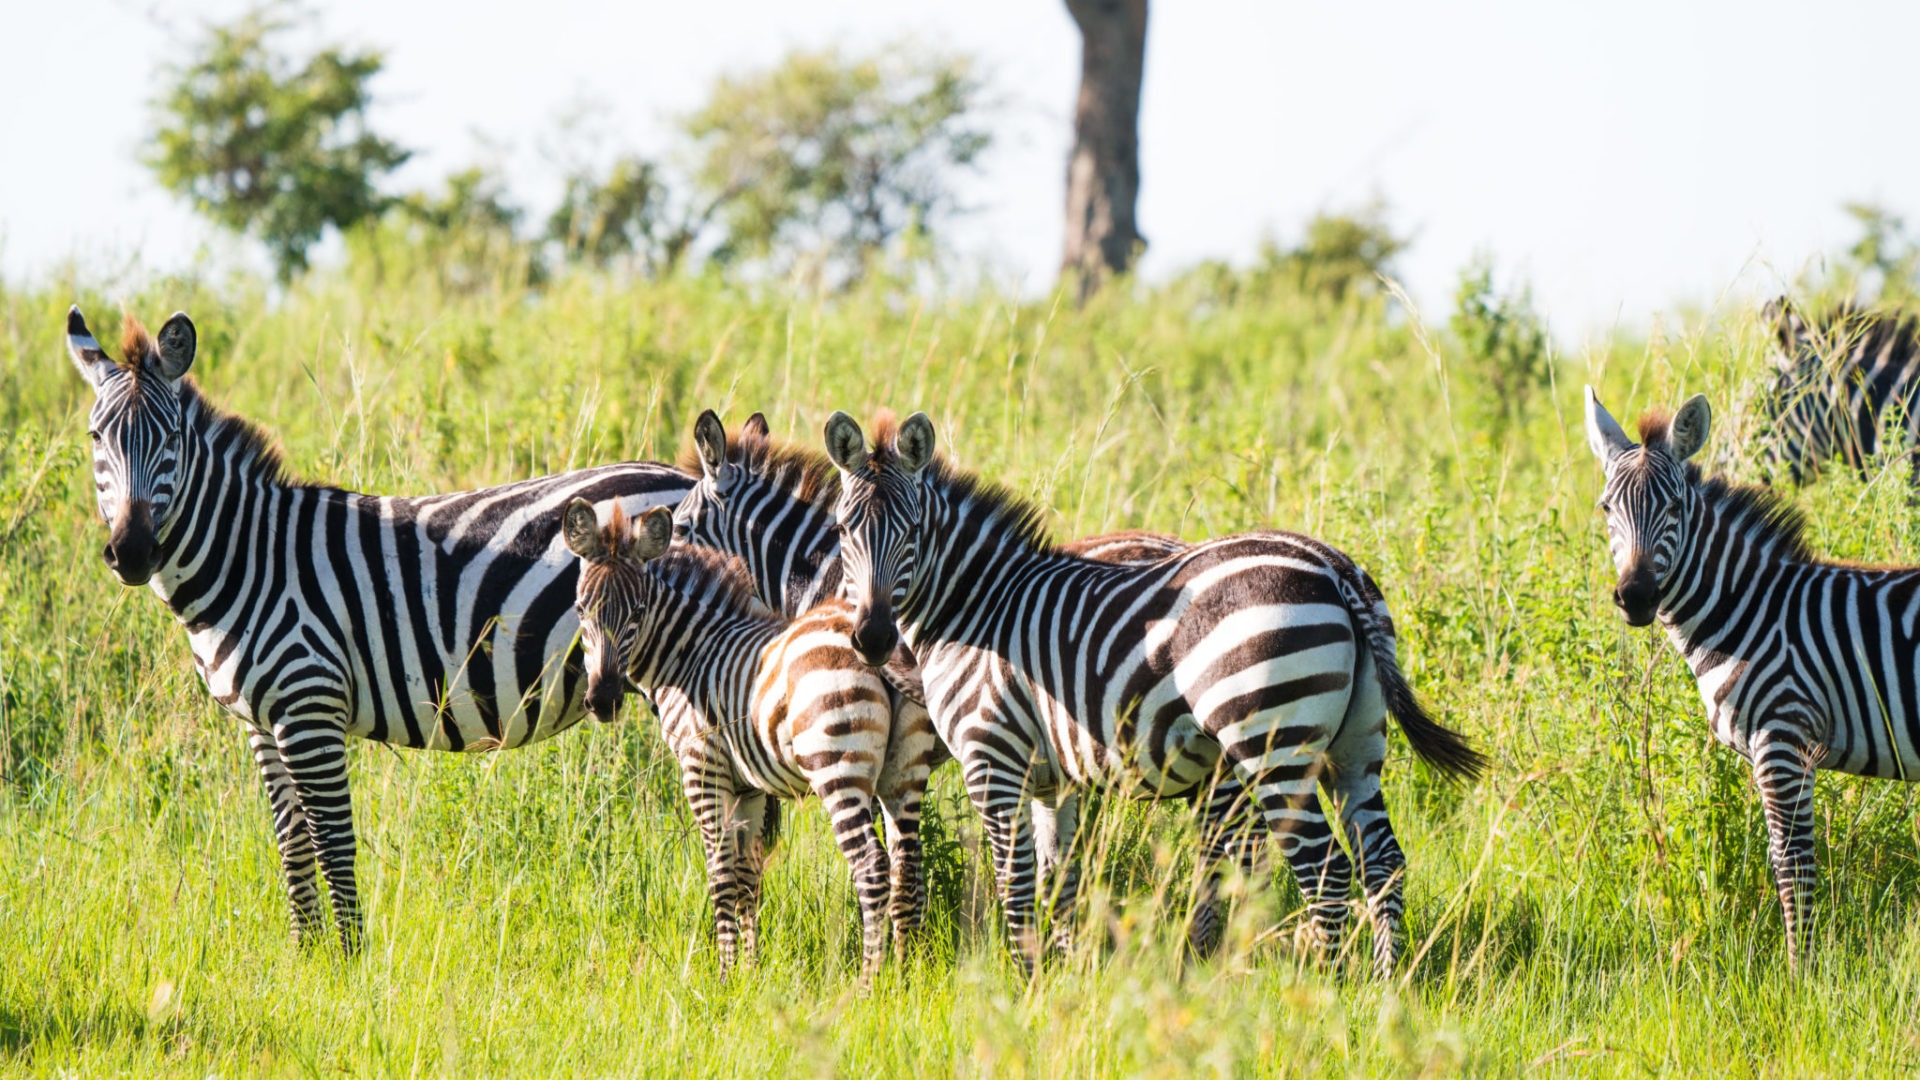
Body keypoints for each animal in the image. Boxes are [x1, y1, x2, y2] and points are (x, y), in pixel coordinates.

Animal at [65, 307, 692, 951]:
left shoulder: (310, 706)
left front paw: (348, 960)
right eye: (95, 438)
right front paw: (306, 955)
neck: (250, 557)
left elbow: (333, 844)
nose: (132, 552)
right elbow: (292, 847)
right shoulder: (262, 723)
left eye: (171, 439)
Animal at [563, 500, 921, 982]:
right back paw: (906, 973)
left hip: (837, 766)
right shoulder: (748, 785)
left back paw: (869, 982)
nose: (602, 700)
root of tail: (877, 650)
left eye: (637, 611)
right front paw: (750, 972)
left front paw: (725, 972)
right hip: (904, 769)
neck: (687, 654)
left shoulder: (702, 768)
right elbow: (748, 876)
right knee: (907, 867)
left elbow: (720, 874)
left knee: (871, 866)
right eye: (581, 610)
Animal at [818, 410, 1485, 976]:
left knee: (1325, 870)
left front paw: (1020, 980)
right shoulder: (1052, 779)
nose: (873, 638)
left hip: (1275, 747)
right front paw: (1058, 980)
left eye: (912, 531)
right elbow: (1060, 879)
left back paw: (1326, 991)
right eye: (845, 529)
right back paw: (1384, 987)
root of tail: (1334, 567)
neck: (975, 607)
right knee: (1382, 861)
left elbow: (1016, 883)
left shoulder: (992, 759)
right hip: (1356, 747)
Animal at [1587, 384, 1920, 970]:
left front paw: (1799, 974)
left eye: (1674, 508)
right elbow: (1781, 857)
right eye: (1608, 509)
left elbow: (1792, 864)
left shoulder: (1783, 740)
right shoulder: (1782, 752)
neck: (1749, 612)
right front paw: (1800, 966)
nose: (1636, 597)